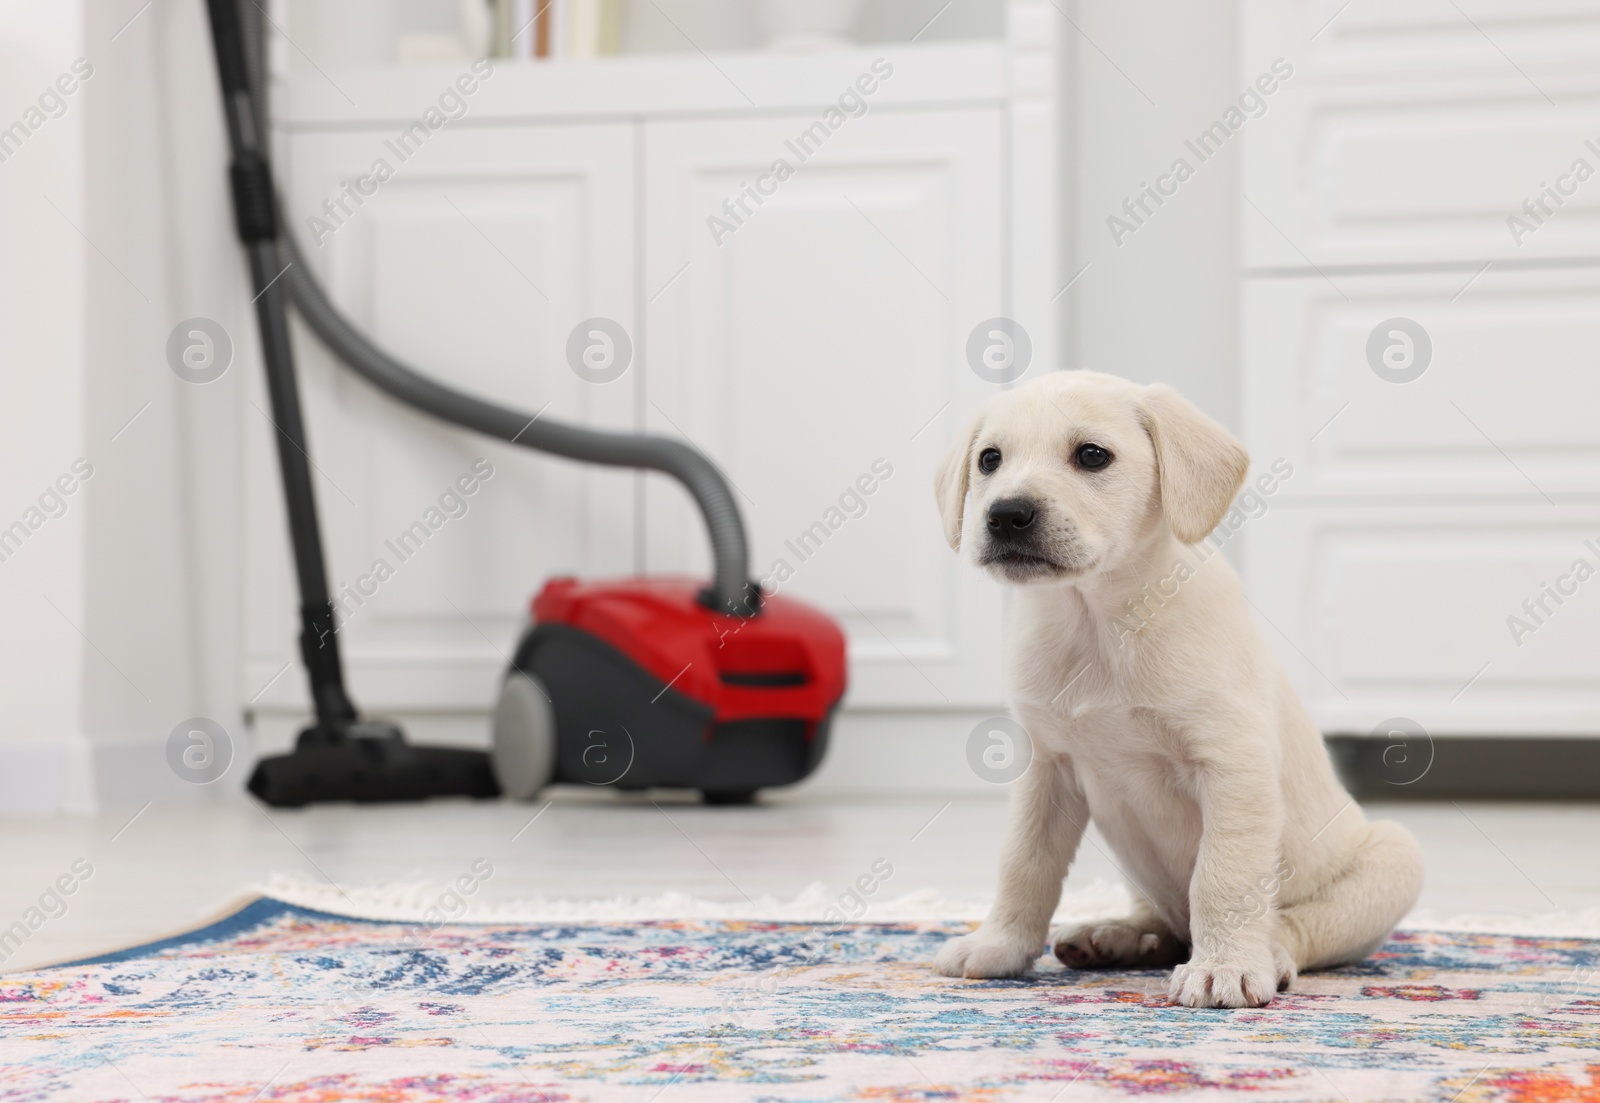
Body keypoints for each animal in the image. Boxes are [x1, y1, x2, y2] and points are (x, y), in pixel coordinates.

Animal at [934, 369, 1420, 1005]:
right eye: (989, 459)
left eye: (1092, 455)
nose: (1006, 514)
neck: (1098, 623)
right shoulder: (1047, 771)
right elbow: (1024, 864)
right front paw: (999, 946)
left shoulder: (1234, 765)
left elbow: (1222, 877)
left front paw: (1225, 967)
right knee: (1165, 922)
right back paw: (1116, 936)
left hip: (1392, 858)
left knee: (1293, 926)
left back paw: (1265, 953)